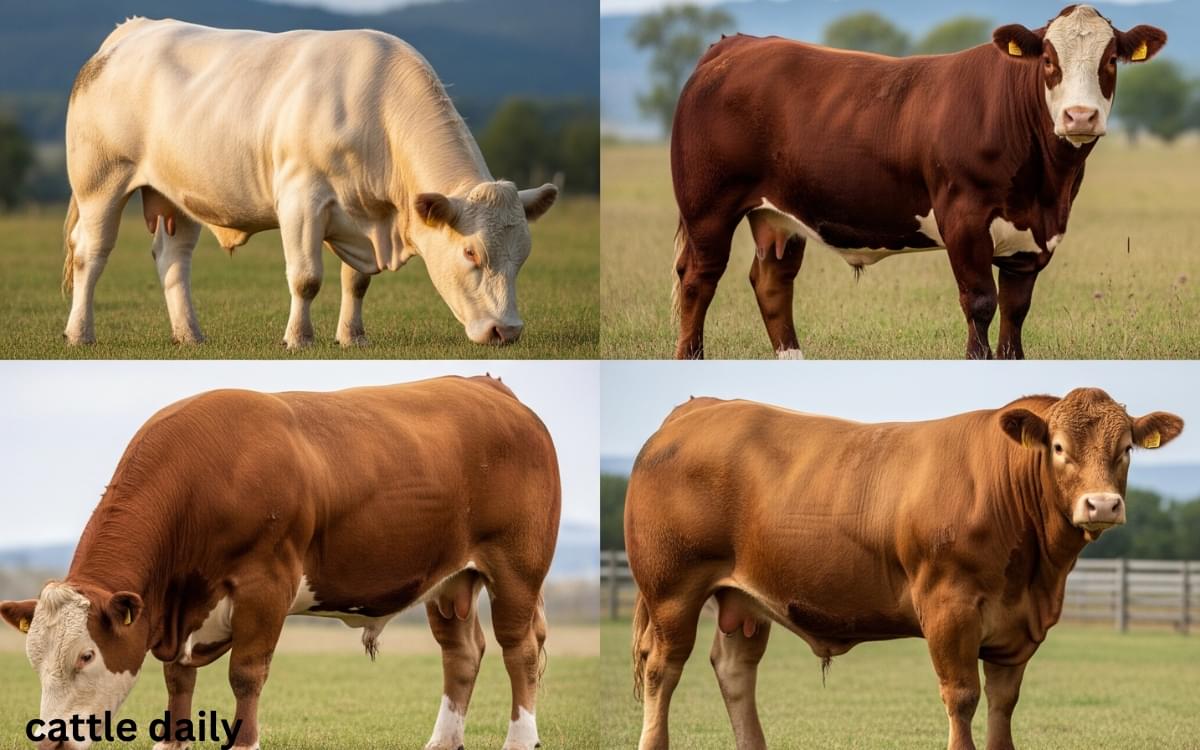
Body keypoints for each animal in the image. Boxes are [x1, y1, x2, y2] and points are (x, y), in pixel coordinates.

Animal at [0, 376, 561, 750]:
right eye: (33, 659)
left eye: (85, 656)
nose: (50, 741)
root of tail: (491, 388)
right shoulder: (182, 612)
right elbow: (178, 679)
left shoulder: (265, 586)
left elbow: (246, 675)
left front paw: (244, 741)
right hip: (449, 583)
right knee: (462, 653)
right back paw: (442, 742)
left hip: (517, 568)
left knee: (518, 651)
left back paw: (519, 740)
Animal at [61, 18, 559, 349]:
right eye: (471, 253)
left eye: (524, 255)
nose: (507, 330)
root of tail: (132, 31)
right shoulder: (301, 199)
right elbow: (306, 279)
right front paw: (298, 338)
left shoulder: (366, 212)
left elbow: (356, 282)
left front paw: (352, 337)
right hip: (100, 182)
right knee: (92, 253)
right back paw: (79, 333)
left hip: (177, 194)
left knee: (173, 259)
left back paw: (190, 335)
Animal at [625, 388, 1183, 749]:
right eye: (1060, 448)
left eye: (1126, 450)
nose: (1102, 504)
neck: (1034, 574)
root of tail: (696, 409)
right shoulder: (948, 609)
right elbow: (962, 698)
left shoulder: (1017, 628)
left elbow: (1003, 706)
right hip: (672, 588)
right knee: (662, 667)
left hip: (744, 599)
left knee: (735, 667)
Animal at [669, 5, 1166, 360]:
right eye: (1047, 58)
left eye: (1110, 60)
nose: (1080, 116)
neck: (1046, 188)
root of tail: (734, 45)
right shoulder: (963, 221)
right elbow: (980, 305)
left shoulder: (1030, 245)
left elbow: (1014, 319)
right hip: (708, 207)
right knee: (698, 280)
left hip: (778, 213)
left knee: (773, 281)